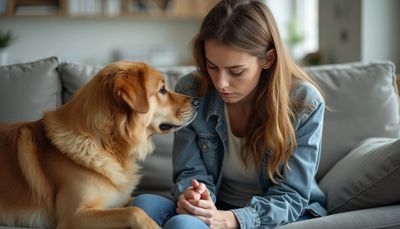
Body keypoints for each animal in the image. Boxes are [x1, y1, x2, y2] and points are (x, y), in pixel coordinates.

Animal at [0, 61, 198, 228]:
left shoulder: (117, 199)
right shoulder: (73, 216)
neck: (104, 142)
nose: (197, 101)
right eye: (162, 90)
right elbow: (135, 211)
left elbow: (137, 200)